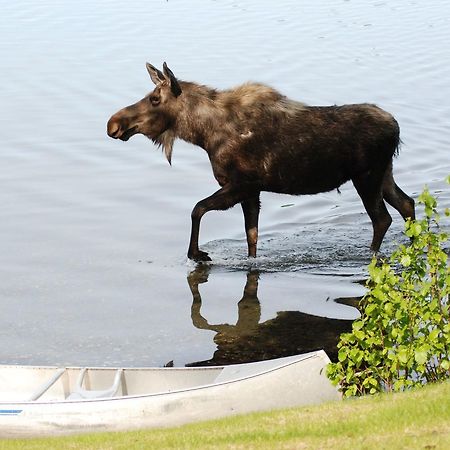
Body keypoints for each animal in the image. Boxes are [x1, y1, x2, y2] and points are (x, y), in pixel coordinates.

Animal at [106, 61, 414, 262]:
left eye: (155, 98)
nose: (113, 124)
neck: (203, 134)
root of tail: (397, 127)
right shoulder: (251, 191)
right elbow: (251, 236)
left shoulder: (241, 185)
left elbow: (197, 209)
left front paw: (196, 253)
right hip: (384, 173)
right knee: (406, 204)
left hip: (367, 176)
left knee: (382, 218)